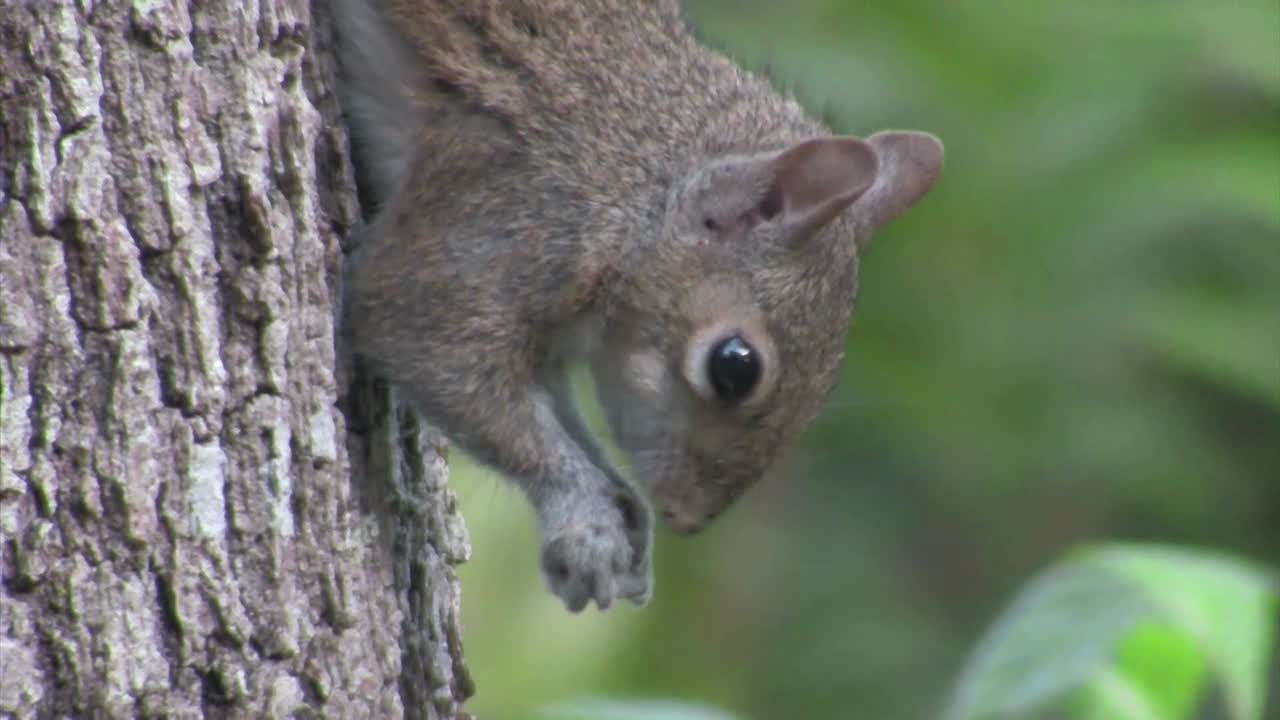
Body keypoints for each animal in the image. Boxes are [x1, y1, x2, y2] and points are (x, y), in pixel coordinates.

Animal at [331, 0, 943, 613]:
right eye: (735, 367)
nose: (687, 518)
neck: (641, 189)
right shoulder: (512, 215)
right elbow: (426, 338)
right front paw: (585, 518)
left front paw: (629, 517)